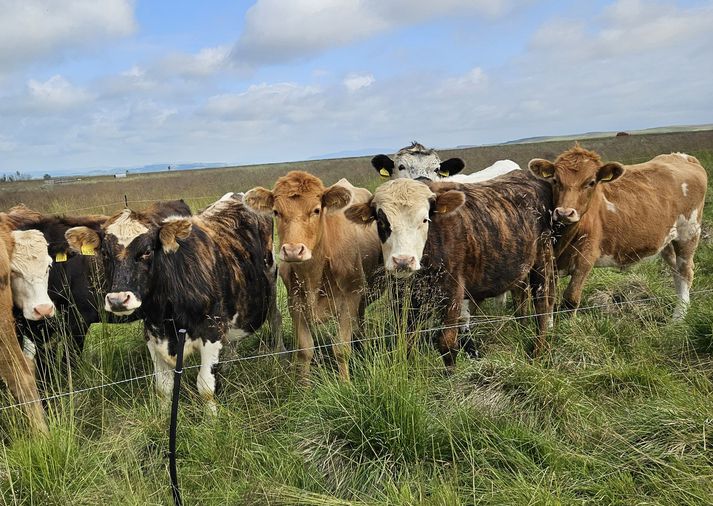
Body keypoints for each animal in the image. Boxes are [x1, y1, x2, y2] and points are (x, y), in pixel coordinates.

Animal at [242, 172, 382, 382]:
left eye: (316, 210)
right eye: (276, 212)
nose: (293, 250)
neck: (312, 276)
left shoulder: (350, 299)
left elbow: (341, 348)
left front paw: (345, 382)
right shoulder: (295, 303)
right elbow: (305, 349)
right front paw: (304, 385)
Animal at [528, 144, 708, 318]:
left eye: (591, 182)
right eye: (555, 180)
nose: (564, 213)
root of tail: (682, 156)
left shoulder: (586, 257)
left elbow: (570, 299)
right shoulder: (549, 265)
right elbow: (548, 301)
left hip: (689, 233)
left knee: (685, 273)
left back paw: (678, 318)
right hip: (668, 241)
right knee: (676, 272)